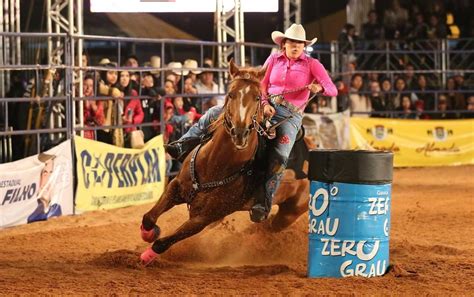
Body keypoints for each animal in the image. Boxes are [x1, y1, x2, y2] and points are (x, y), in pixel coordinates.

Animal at [141, 59, 312, 264]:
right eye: (231, 94)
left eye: (257, 97)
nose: (240, 133)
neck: (214, 165)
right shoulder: (176, 186)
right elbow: (149, 217)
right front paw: (149, 233)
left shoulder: (203, 218)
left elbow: (164, 242)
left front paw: (147, 255)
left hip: (290, 213)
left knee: (267, 227)